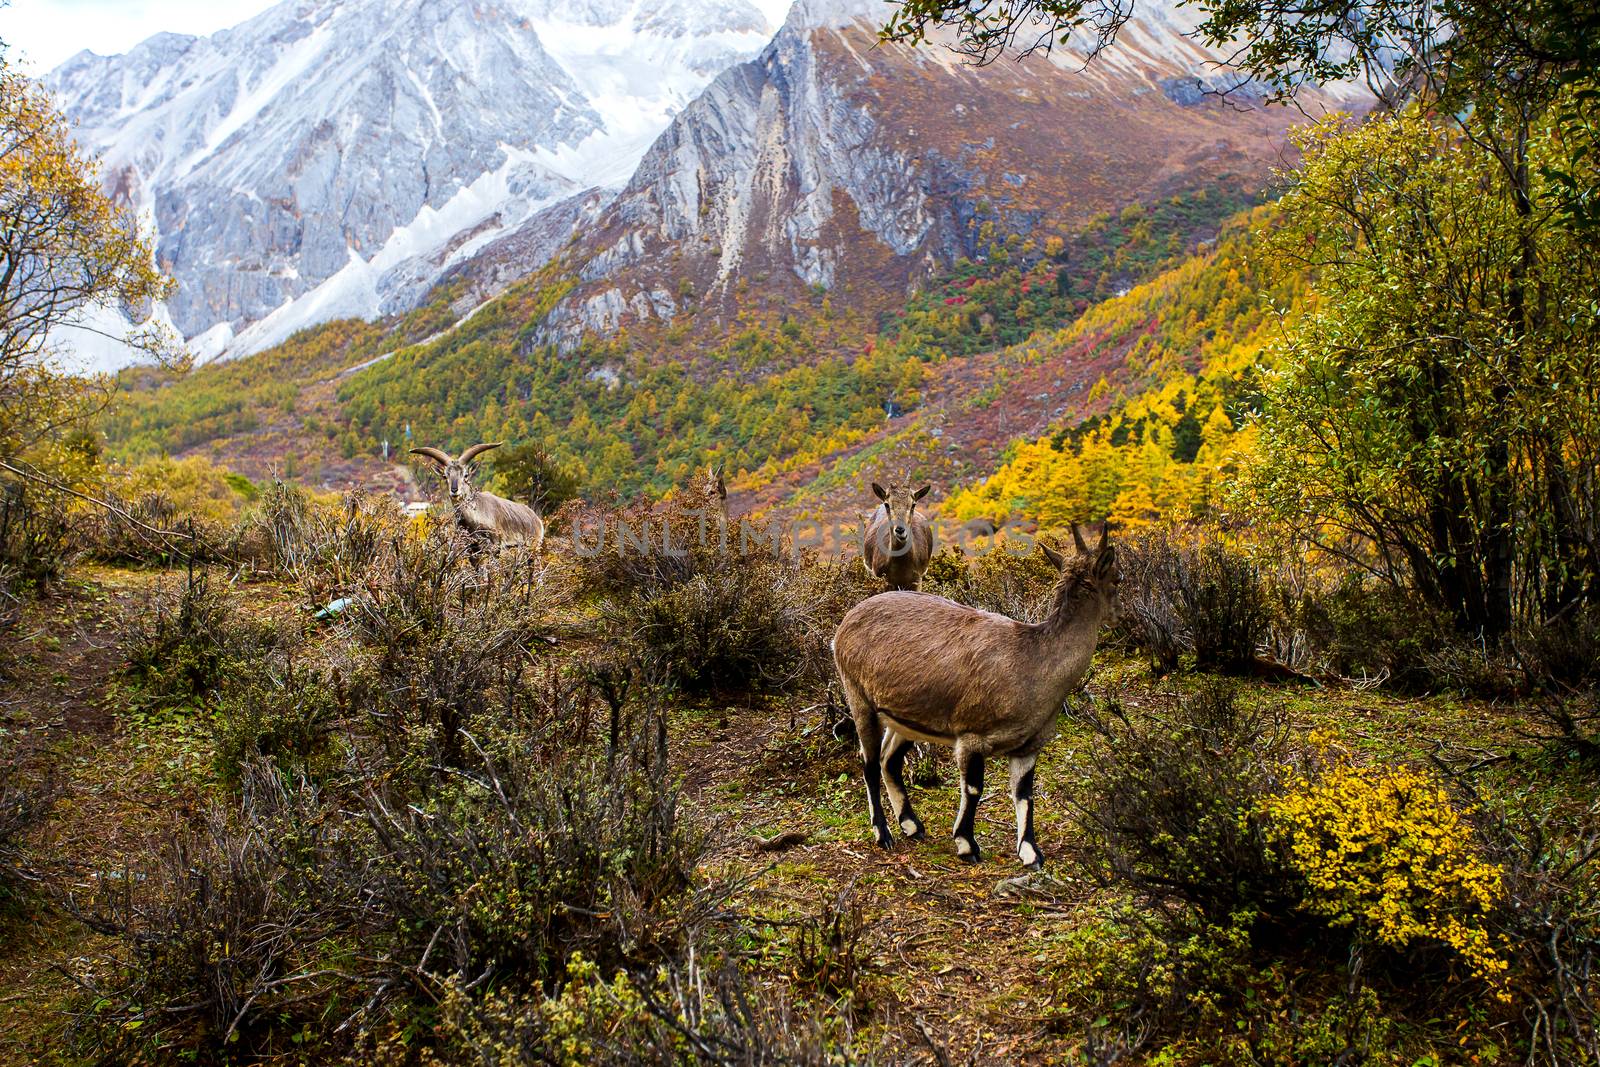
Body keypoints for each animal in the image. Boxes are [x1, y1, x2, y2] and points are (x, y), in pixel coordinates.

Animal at [409, 441, 547, 556]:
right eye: (445, 476)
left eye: (466, 475)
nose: (454, 490)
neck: (475, 518)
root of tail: (537, 520)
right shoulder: (471, 549)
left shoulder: (496, 546)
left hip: (534, 547)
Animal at [832, 524, 1120, 870]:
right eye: (1118, 578)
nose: (1120, 613)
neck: (1033, 661)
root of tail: (844, 624)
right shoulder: (972, 736)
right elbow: (973, 788)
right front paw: (966, 844)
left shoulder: (1028, 745)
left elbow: (1025, 793)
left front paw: (1030, 851)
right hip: (858, 695)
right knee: (870, 762)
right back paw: (883, 832)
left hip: (906, 717)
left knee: (890, 759)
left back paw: (911, 824)